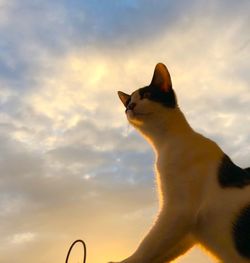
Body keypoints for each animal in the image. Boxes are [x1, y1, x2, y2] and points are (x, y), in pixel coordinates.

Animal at [109, 64, 250, 263]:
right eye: (128, 101)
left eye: (147, 95)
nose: (130, 106)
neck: (165, 142)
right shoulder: (185, 231)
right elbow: (159, 251)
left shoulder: (178, 211)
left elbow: (147, 245)